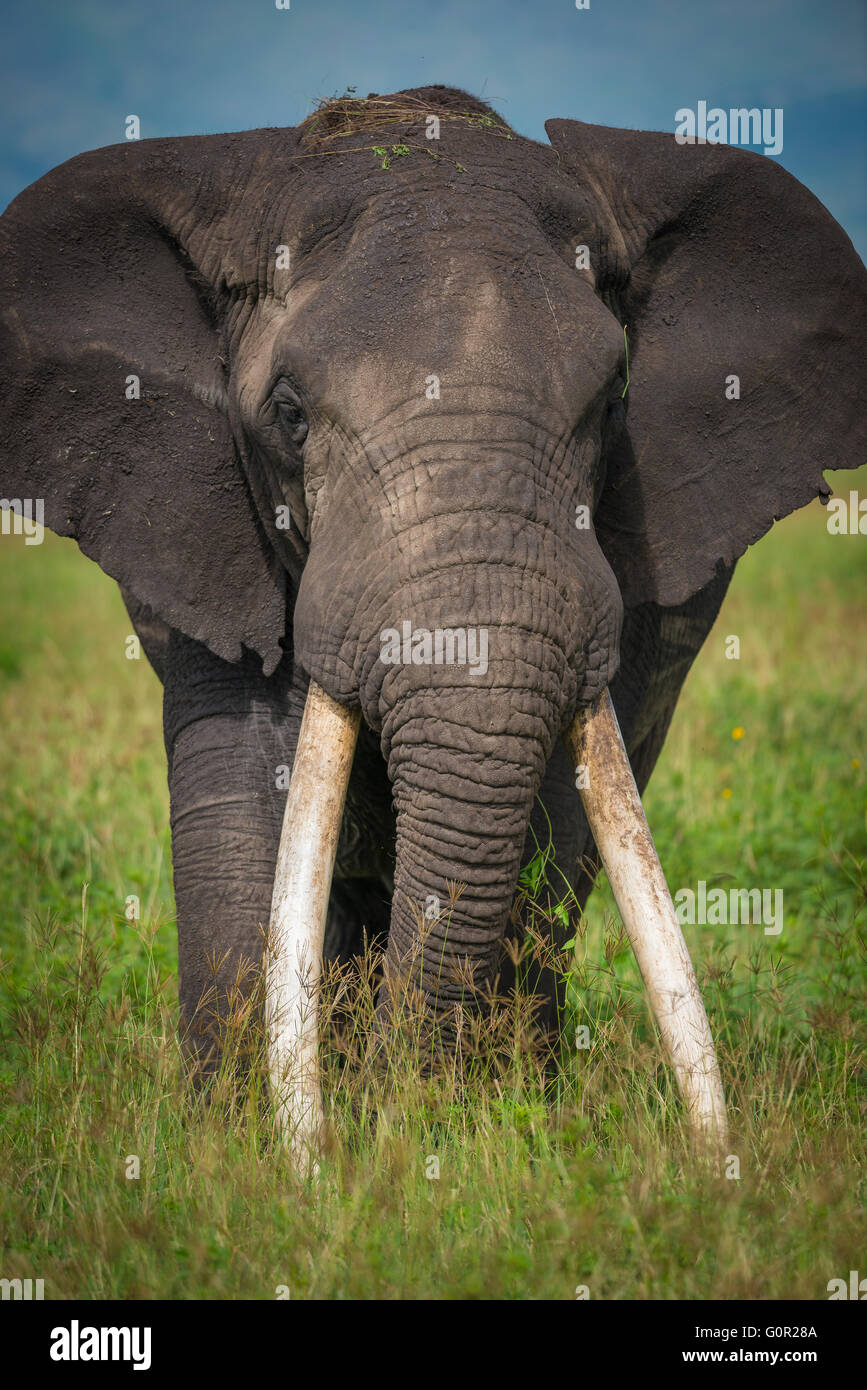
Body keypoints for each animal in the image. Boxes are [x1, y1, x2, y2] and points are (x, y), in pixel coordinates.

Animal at [0, 81, 861, 1156]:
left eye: (614, 402)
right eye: (288, 414)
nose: (388, 1129)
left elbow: (556, 822)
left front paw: (488, 1123)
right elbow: (247, 795)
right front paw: (243, 1149)